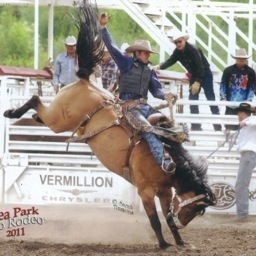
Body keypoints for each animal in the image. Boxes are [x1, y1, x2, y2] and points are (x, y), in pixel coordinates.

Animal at [4, 0, 216, 251]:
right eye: (196, 208)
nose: (185, 223)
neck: (167, 159)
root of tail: (84, 81)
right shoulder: (145, 192)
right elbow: (155, 220)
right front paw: (164, 245)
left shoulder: (165, 192)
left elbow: (168, 219)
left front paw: (181, 242)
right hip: (58, 119)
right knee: (36, 99)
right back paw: (11, 112)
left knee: (39, 110)